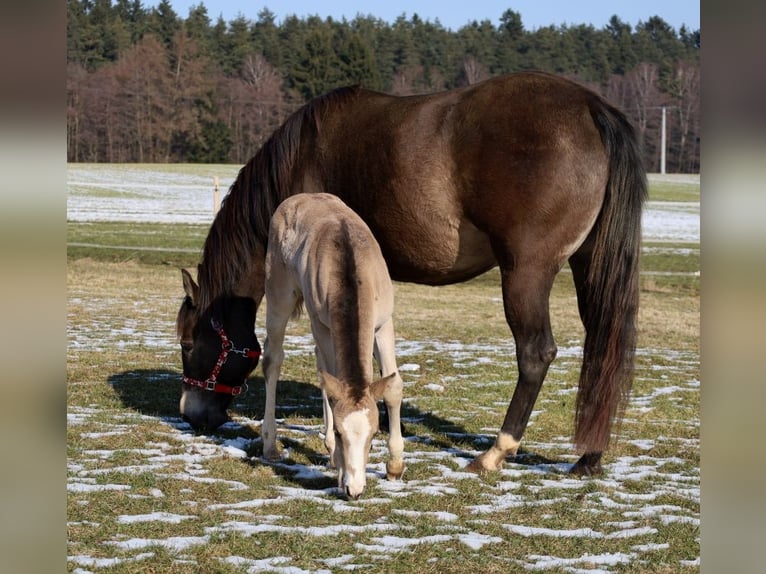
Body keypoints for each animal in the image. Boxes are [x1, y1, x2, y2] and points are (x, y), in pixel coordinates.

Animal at [260, 193, 404, 499]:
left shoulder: (384, 322)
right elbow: (331, 379)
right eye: (340, 432)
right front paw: (337, 461)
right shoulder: (323, 324)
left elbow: (393, 386)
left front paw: (395, 466)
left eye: (374, 436)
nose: (355, 490)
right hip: (279, 292)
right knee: (273, 358)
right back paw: (270, 444)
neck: (352, 271)